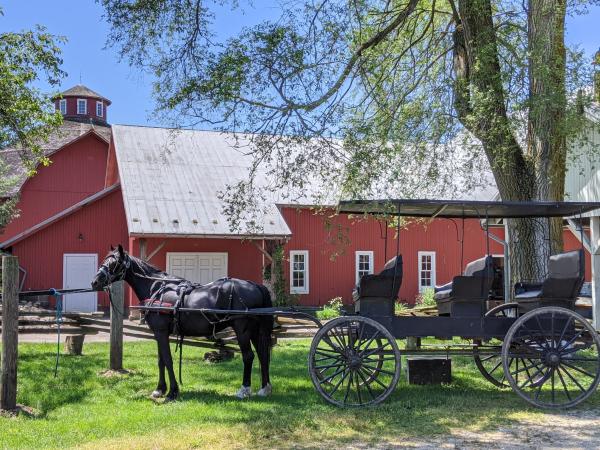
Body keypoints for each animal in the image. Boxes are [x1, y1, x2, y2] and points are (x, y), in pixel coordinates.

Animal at [91, 244, 274, 402]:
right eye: (106, 259)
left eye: (115, 262)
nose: (95, 282)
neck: (156, 288)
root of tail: (256, 286)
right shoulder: (159, 333)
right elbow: (161, 361)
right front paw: (160, 389)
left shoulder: (161, 331)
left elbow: (168, 360)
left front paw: (172, 392)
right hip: (255, 331)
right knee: (262, 354)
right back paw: (264, 389)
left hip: (242, 330)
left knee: (249, 356)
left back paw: (244, 390)